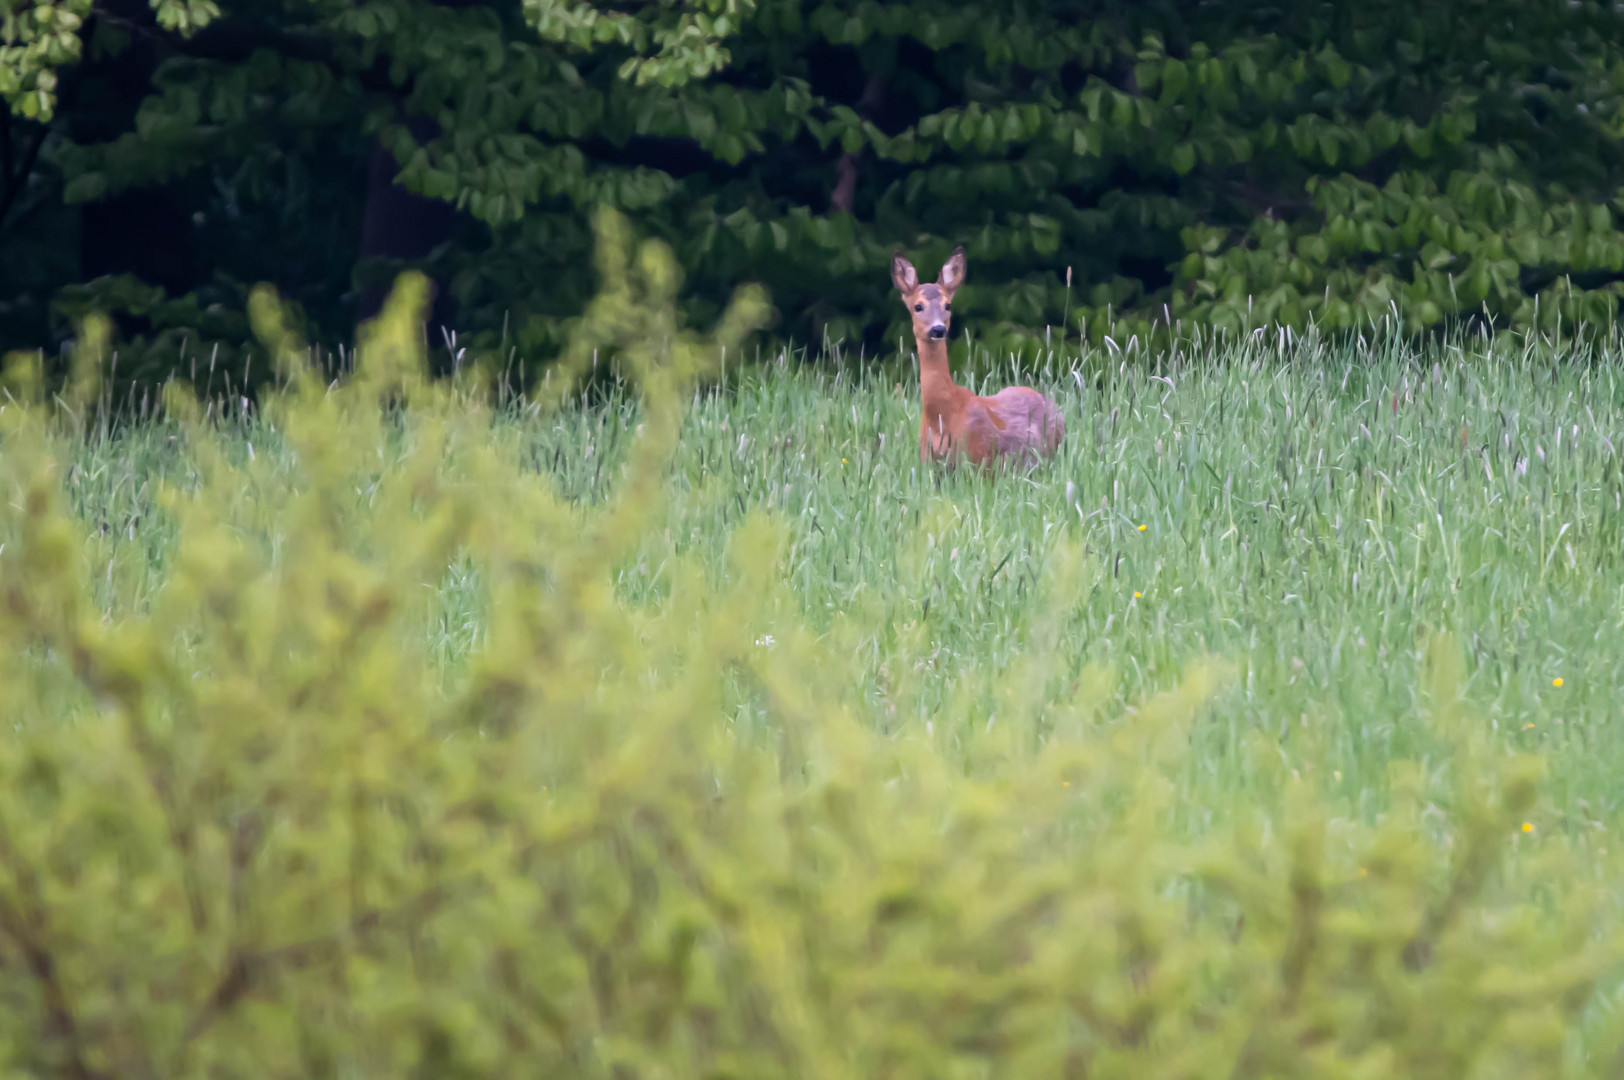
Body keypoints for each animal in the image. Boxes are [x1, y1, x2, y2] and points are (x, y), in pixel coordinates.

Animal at [889, 248, 1065, 467]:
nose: (938, 329)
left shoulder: (977, 458)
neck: (941, 417)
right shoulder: (927, 463)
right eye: (918, 306)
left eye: (948, 305)